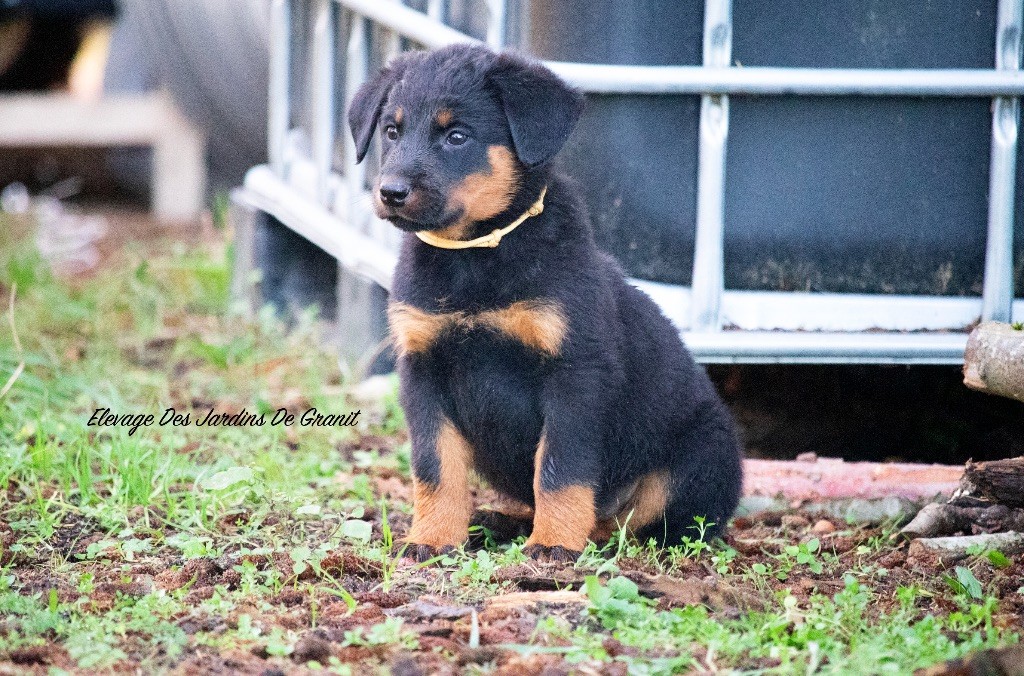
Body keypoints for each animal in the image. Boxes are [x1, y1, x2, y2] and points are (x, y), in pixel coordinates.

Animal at [348, 44, 743, 562]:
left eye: (457, 136)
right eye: (391, 131)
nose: (390, 191)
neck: (475, 255)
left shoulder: (574, 374)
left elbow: (560, 470)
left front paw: (553, 543)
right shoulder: (423, 368)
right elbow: (436, 469)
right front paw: (431, 538)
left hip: (697, 456)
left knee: (645, 524)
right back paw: (494, 522)